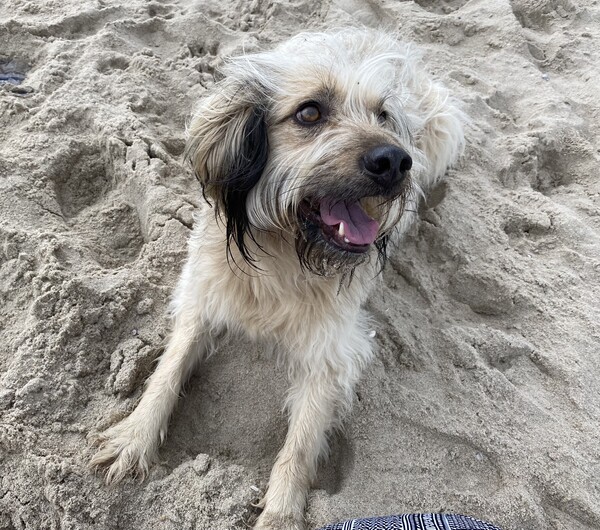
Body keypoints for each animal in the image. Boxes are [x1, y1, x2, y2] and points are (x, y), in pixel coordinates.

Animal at [88, 29, 464, 528]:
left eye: (383, 115)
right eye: (310, 112)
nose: (396, 161)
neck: (284, 256)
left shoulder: (333, 352)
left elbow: (301, 442)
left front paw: (281, 512)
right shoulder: (203, 296)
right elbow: (167, 371)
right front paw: (134, 437)